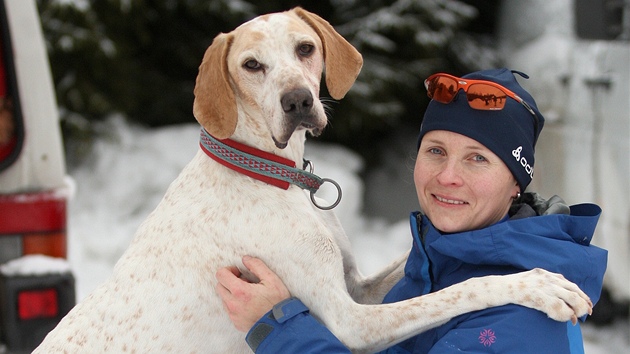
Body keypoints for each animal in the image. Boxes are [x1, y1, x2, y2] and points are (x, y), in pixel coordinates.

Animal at [37, 6, 596, 352]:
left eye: (305, 48)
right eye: (252, 65)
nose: (298, 101)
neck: (267, 172)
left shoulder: (356, 288)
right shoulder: (350, 322)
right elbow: (465, 288)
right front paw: (539, 283)